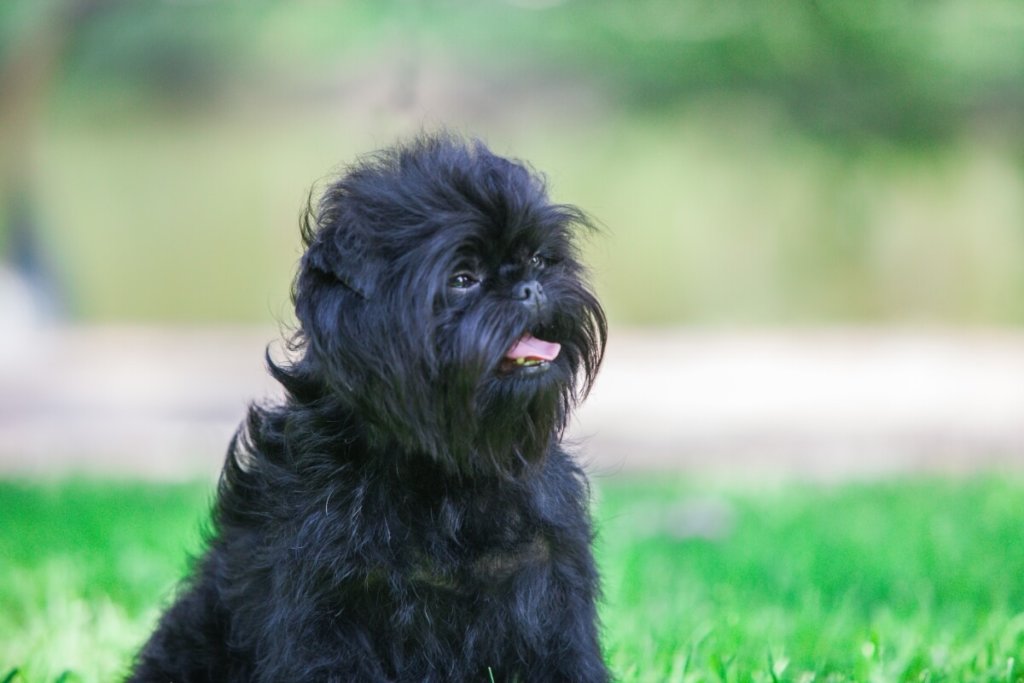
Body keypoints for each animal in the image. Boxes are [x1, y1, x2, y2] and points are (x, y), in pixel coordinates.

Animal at [128, 135, 606, 683]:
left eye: (540, 260)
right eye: (463, 278)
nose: (530, 286)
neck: (443, 473)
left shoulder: (550, 582)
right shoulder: (328, 605)